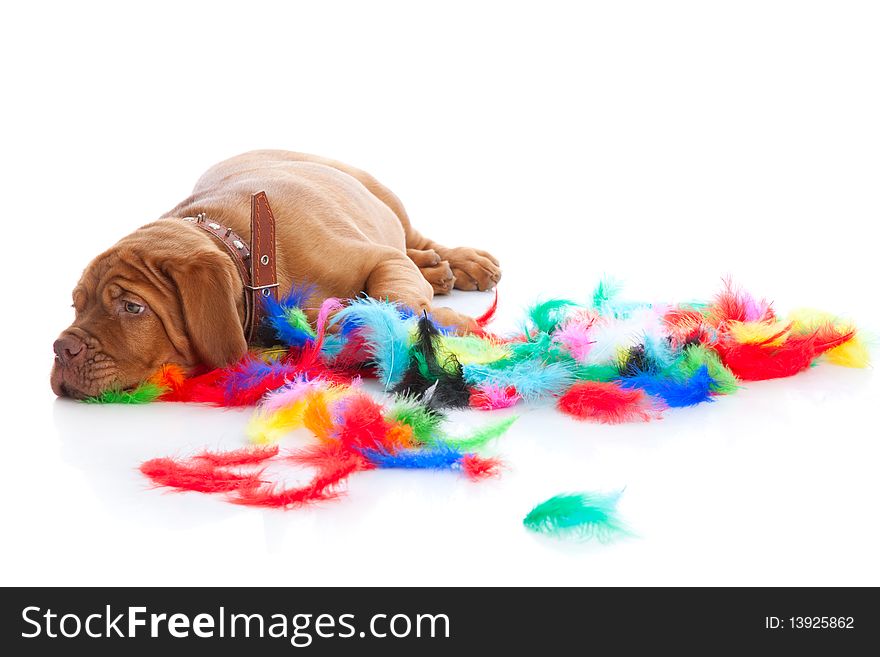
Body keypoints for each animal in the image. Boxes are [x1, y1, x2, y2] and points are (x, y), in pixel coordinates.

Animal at [49, 150, 502, 394]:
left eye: (132, 308)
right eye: (76, 306)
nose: (61, 349)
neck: (248, 254)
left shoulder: (380, 260)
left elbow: (392, 296)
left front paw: (439, 326)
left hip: (383, 198)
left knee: (414, 241)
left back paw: (459, 264)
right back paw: (438, 270)